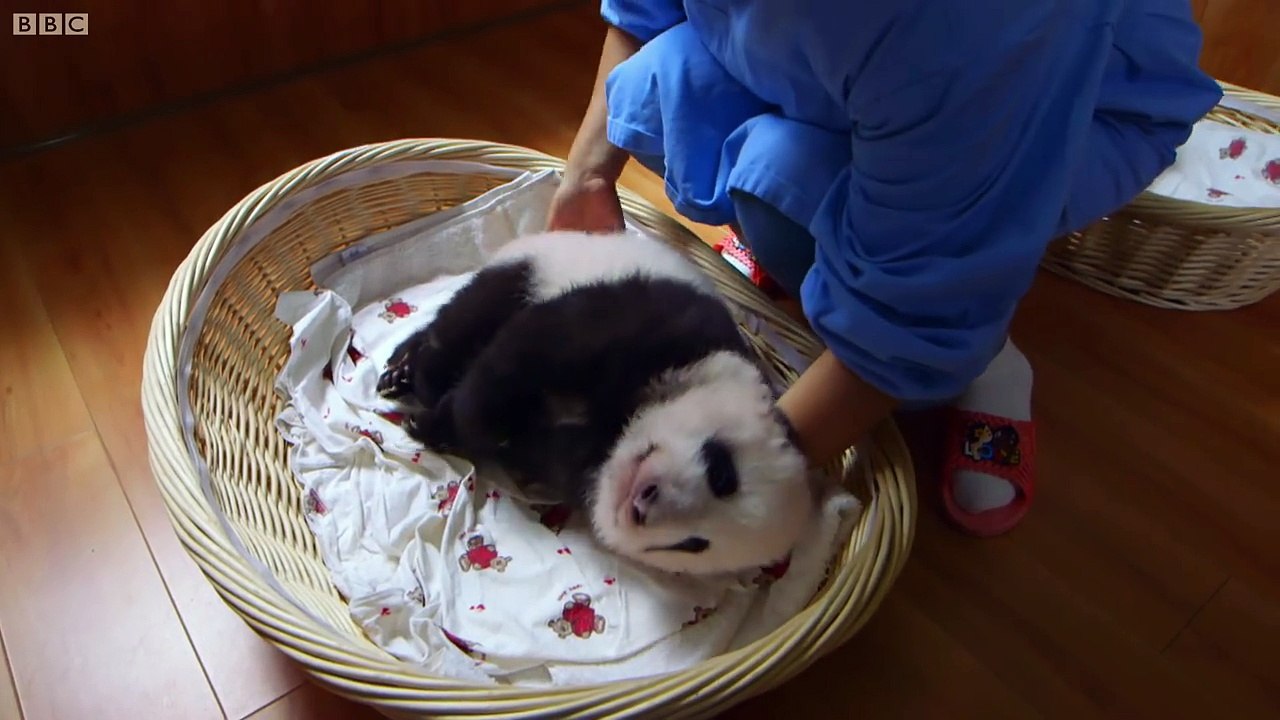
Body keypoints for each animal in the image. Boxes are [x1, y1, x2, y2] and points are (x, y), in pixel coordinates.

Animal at [376, 230, 819, 576]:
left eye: (693, 544)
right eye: (723, 474)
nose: (642, 506)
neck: (619, 426)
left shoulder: (564, 458)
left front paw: (443, 424)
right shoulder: (654, 324)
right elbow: (517, 358)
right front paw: (437, 420)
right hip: (536, 266)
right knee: (464, 319)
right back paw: (406, 369)